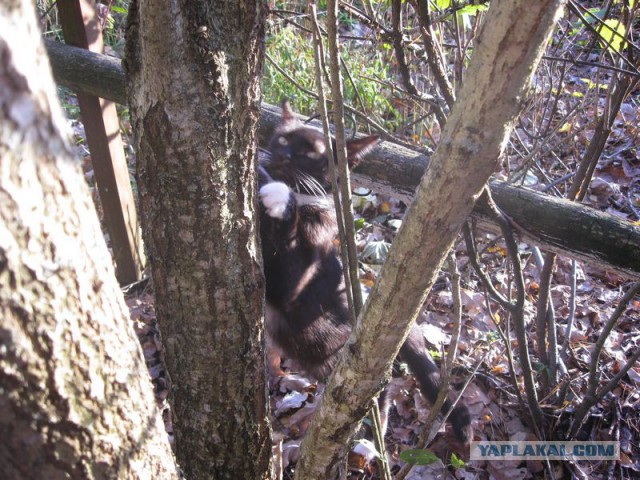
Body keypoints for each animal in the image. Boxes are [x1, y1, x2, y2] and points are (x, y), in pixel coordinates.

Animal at [258, 101, 470, 442]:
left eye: (312, 154)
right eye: (282, 139)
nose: (283, 156)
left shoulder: (297, 281)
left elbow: (289, 269)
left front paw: (277, 194)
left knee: (372, 394)